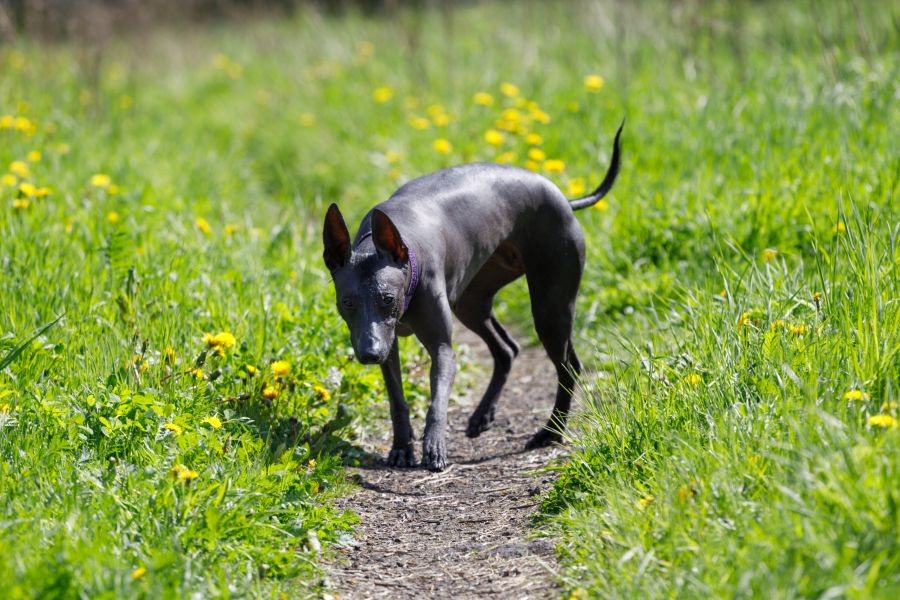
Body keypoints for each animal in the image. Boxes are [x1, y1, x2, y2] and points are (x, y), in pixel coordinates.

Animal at [326, 124, 624, 472]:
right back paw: (483, 416)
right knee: (507, 349)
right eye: (347, 303)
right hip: (471, 302)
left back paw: (550, 432)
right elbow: (397, 399)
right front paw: (401, 447)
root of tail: (563, 198)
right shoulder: (389, 345)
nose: (369, 353)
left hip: (549, 307)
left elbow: (437, 399)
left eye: (387, 298)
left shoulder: (441, 348)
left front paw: (434, 445)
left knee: (567, 367)